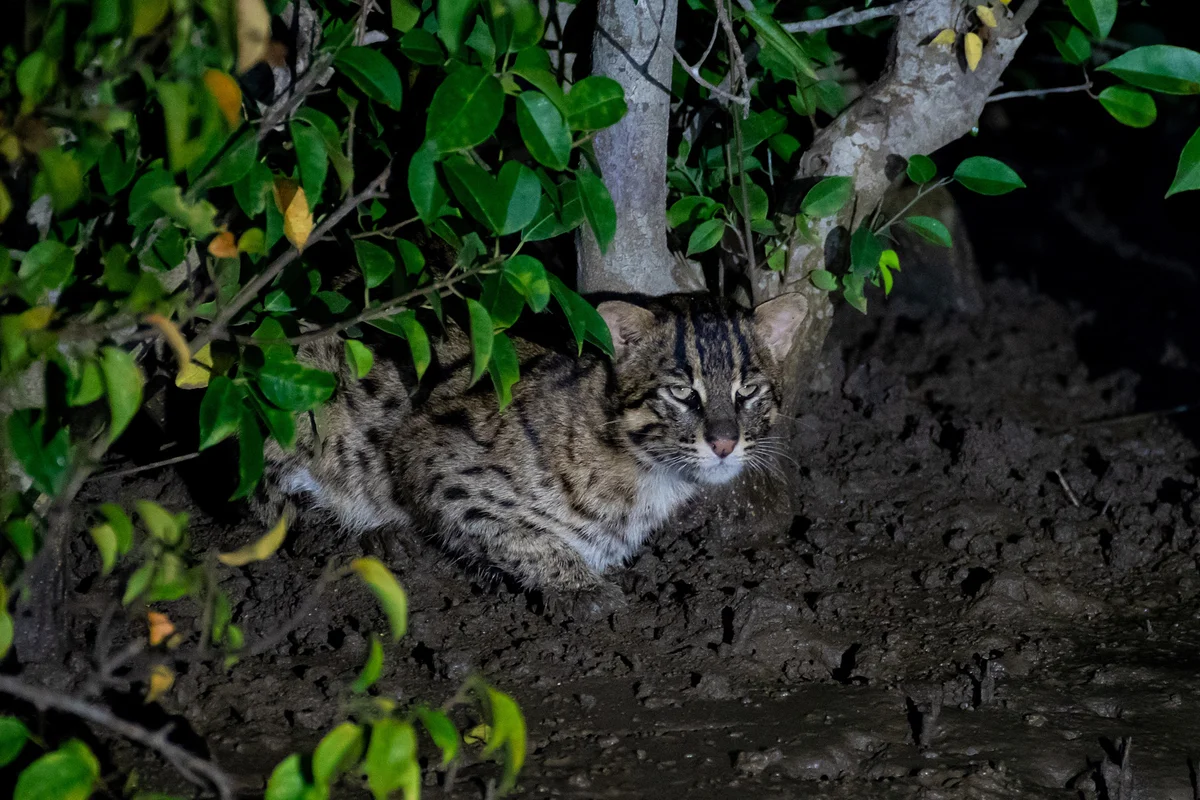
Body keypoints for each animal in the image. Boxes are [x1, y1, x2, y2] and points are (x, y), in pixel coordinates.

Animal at [261, 293, 806, 614]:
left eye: (749, 391)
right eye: (680, 393)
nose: (724, 442)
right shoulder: (431, 456)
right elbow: (521, 536)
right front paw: (581, 587)